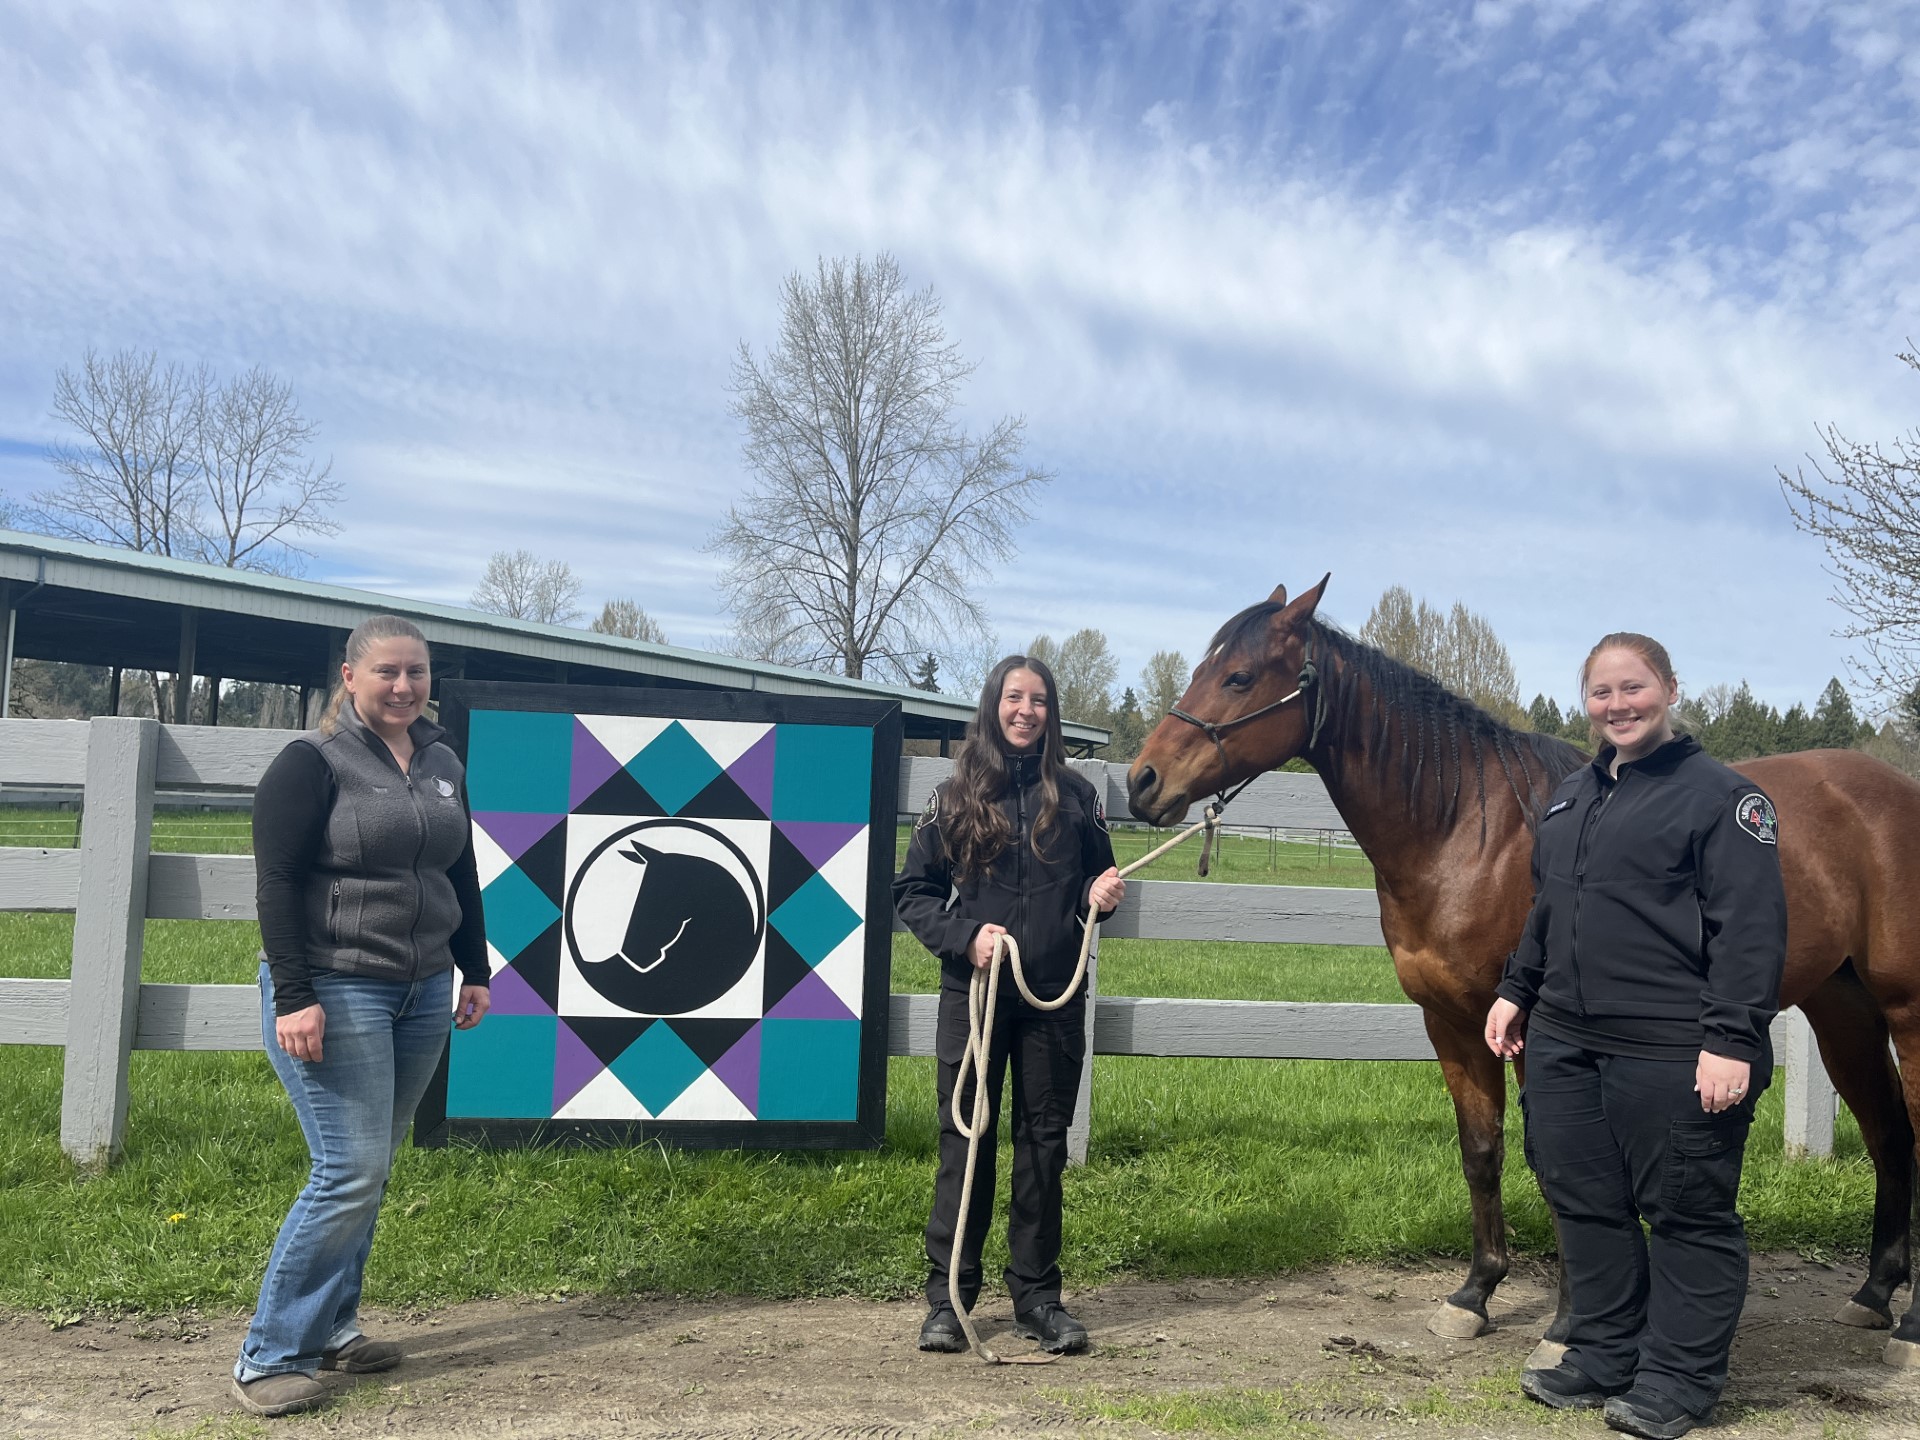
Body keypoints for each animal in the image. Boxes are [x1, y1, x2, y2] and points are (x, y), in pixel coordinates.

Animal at [1121, 579, 1920, 1367]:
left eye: (1240, 677)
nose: (1141, 781)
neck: (1467, 831)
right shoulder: (1452, 1023)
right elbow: (1482, 1152)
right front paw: (1474, 1296)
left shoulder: (1538, 1031)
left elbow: (1558, 1163)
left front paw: (1568, 1325)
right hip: (1842, 1012)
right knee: (1890, 1135)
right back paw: (1874, 1294)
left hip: (1906, 1012)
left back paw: (1907, 1330)